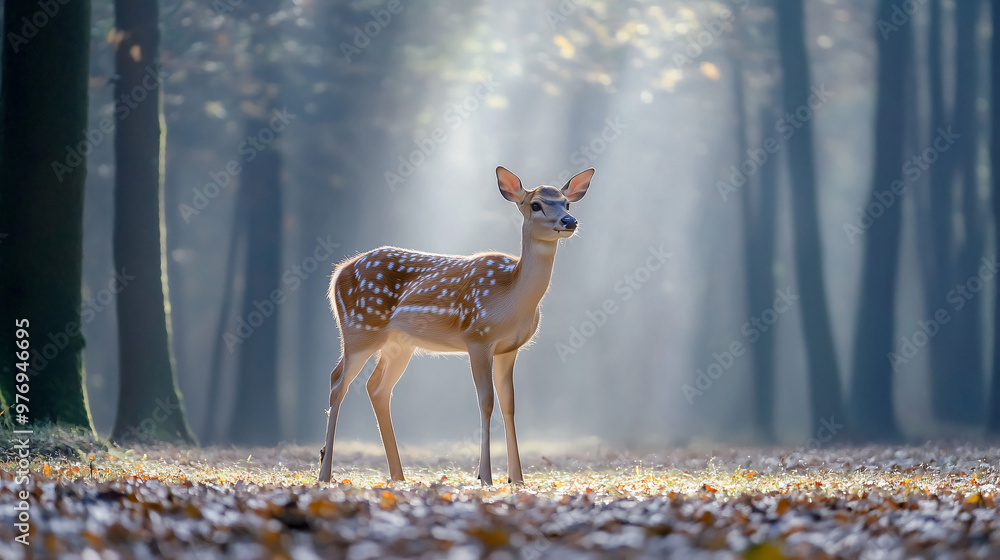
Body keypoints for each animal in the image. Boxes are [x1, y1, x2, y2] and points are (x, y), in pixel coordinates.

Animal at [316, 165, 588, 486]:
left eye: (566, 203)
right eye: (536, 204)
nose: (569, 221)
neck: (512, 299)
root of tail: (338, 273)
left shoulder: (509, 348)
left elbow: (509, 404)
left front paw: (517, 478)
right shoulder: (477, 337)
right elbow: (486, 401)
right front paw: (485, 476)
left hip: (398, 343)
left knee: (376, 387)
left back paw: (398, 476)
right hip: (359, 328)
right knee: (338, 381)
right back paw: (325, 473)